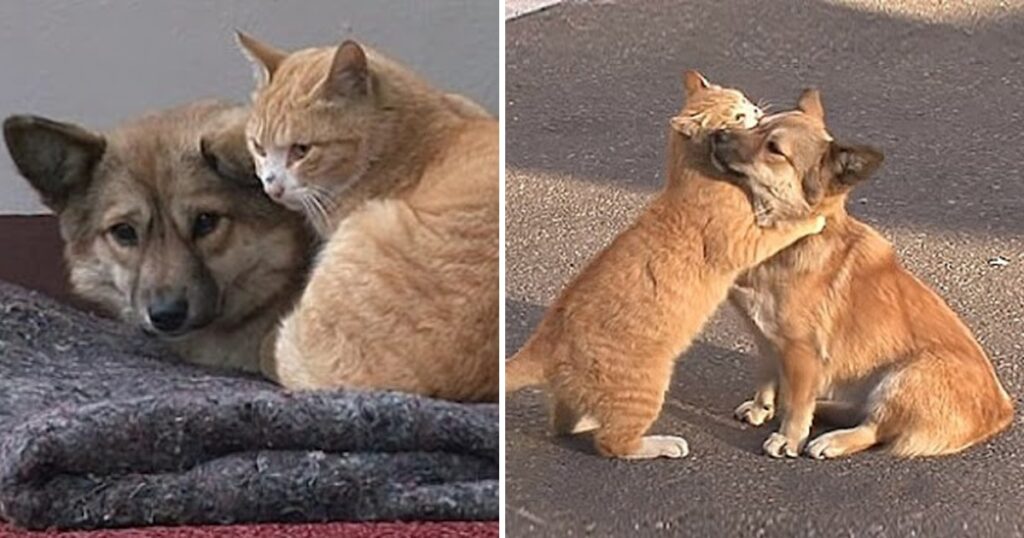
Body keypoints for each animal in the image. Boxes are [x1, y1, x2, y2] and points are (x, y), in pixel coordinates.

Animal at [503, 70, 823, 457]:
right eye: (737, 116)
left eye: (745, 101)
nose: (757, 111)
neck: (692, 172)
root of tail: (544, 342)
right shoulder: (745, 243)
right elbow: (784, 229)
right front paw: (812, 218)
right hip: (647, 388)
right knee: (613, 444)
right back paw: (663, 444)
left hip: (577, 398)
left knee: (564, 424)